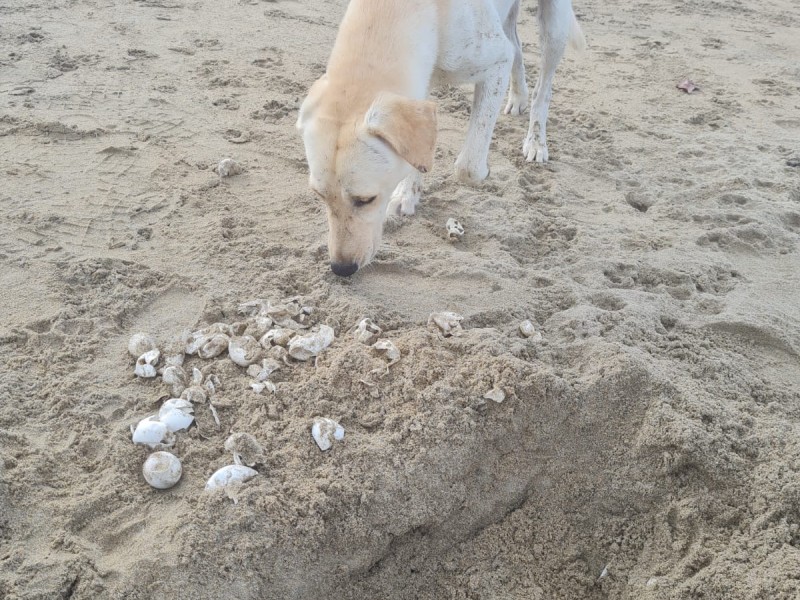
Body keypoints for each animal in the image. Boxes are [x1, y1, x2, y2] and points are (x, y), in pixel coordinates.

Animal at [296, 0, 584, 276]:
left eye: (366, 200)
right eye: (319, 195)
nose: (341, 269)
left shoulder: (496, 63)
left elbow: (468, 167)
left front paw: (484, 172)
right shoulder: (420, 85)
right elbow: (418, 154)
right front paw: (407, 194)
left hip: (554, 27)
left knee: (543, 86)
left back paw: (536, 140)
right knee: (516, 44)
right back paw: (518, 96)